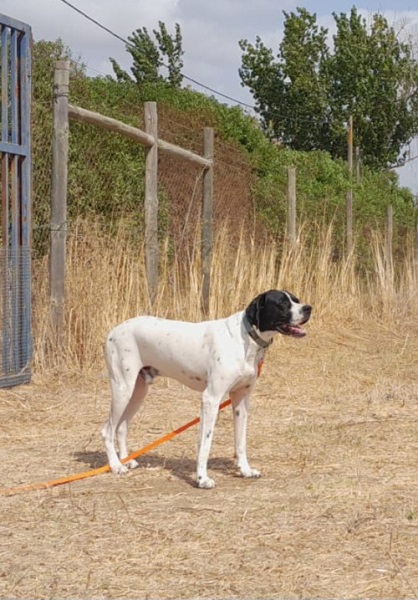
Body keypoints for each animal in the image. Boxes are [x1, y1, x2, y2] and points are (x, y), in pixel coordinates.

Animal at [101, 290, 310, 488]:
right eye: (282, 303)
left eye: (296, 299)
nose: (308, 308)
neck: (244, 339)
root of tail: (113, 331)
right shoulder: (211, 399)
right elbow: (205, 445)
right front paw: (202, 479)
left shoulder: (240, 400)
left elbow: (240, 441)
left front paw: (245, 470)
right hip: (123, 389)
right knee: (107, 430)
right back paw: (116, 466)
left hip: (138, 391)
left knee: (121, 427)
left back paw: (126, 461)